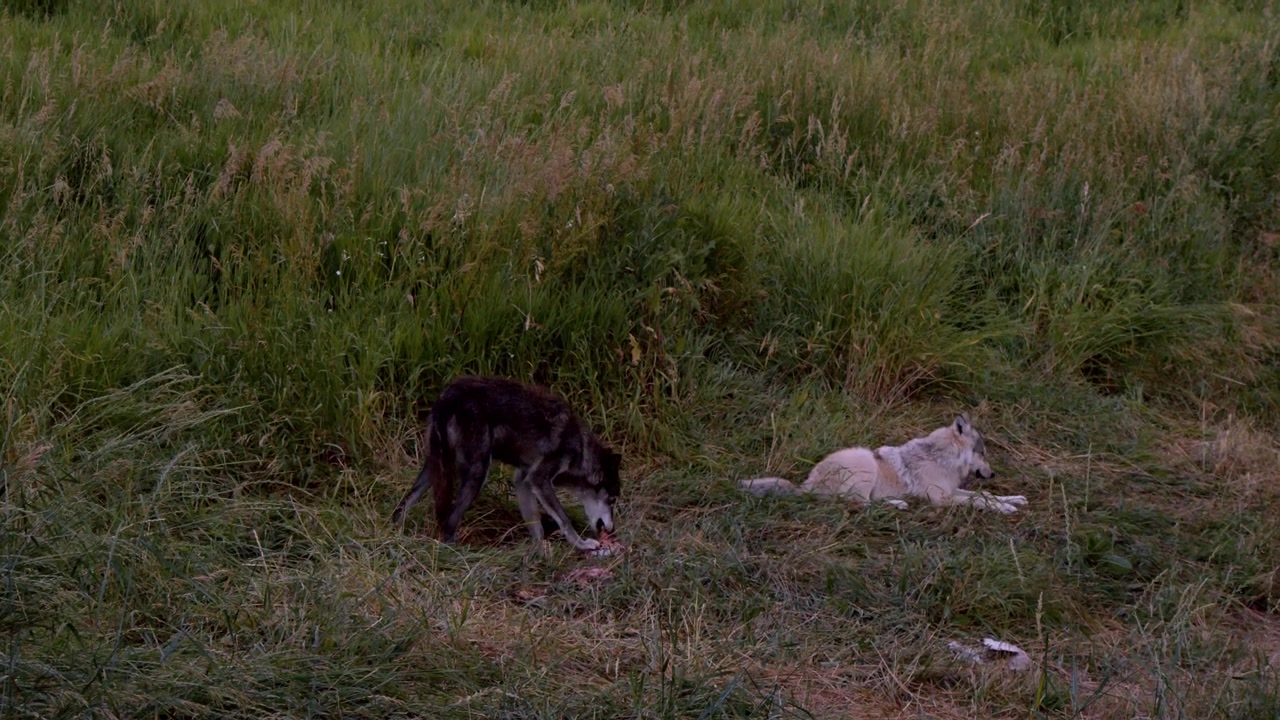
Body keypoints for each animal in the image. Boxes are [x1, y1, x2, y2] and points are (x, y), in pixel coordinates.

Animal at [390, 376, 622, 552]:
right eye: (612, 500)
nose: (611, 531)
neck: (580, 449)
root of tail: (448, 397)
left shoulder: (523, 481)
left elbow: (535, 524)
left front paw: (541, 552)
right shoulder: (539, 480)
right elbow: (564, 520)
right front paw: (582, 545)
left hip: (434, 469)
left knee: (402, 506)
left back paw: (396, 533)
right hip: (477, 474)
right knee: (449, 521)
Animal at [739, 415, 1026, 514]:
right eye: (983, 452)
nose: (993, 473)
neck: (941, 457)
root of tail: (806, 485)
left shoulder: (952, 490)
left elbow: (985, 495)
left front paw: (1013, 500)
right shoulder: (941, 498)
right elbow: (978, 500)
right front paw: (1006, 509)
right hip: (865, 460)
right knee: (858, 504)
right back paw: (898, 504)